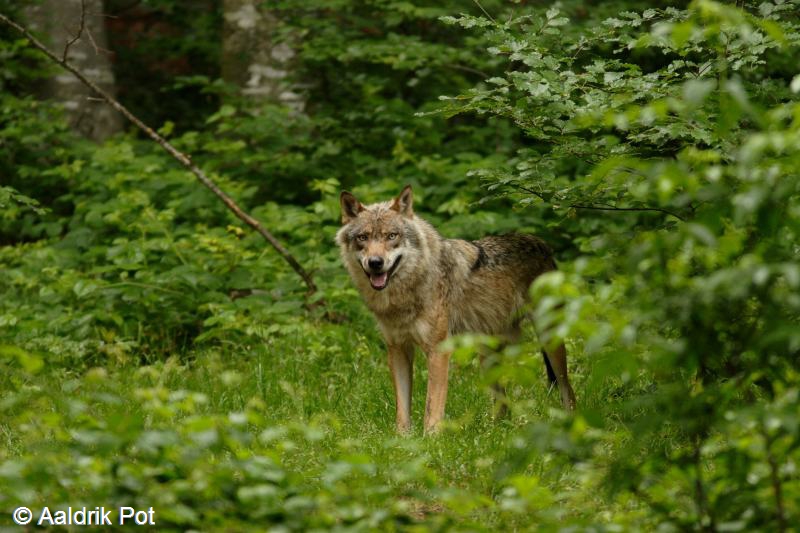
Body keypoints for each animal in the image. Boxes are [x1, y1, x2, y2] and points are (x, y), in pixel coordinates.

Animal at [336, 186, 576, 432]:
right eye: (363, 238)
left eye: (391, 236)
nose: (375, 262)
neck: (405, 295)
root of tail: (542, 244)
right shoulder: (398, 349)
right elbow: (402, 410)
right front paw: (402, 438)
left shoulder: (438, 350)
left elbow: (432, 407)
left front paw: (431, 437)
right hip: (487, 357)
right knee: (503, 405)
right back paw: (494, 431)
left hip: (549, 341)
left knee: (568, 390)